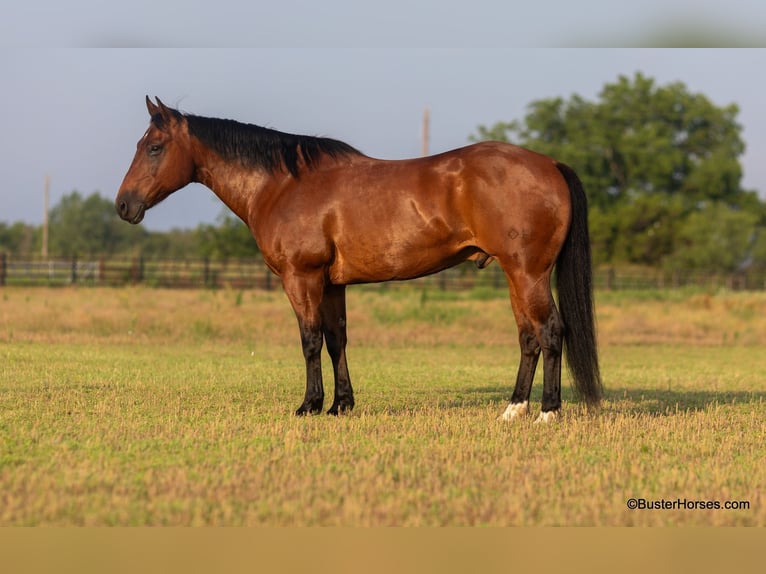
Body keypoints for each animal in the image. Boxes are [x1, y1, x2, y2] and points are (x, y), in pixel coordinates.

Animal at [117, 97, 604, 424]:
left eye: (155, 147)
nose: (124, 206)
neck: (283, 185)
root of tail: (550, 164)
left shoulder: (302, 278)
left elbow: (310, 340)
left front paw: (309, 405)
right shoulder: (332, 283)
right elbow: (337, 340)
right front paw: (341, 405)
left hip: (529, 272)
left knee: (551, 331)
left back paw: (547, 413)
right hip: (515, 274)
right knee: (528, 337)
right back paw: (513, 409)